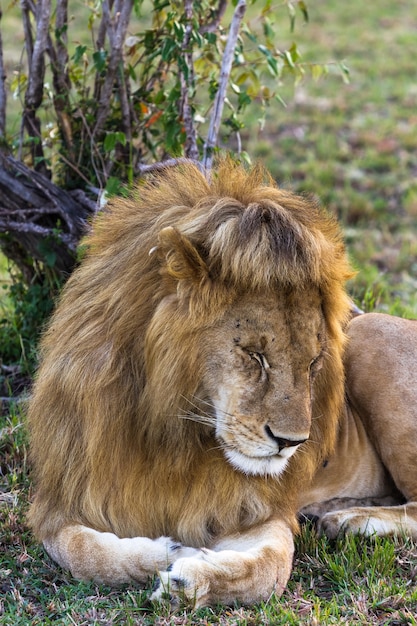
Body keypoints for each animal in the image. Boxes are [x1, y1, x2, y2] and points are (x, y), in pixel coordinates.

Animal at [27, 160, 416, 604]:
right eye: (254, 354)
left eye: (313, 362)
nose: (292, 443)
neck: (172, 435)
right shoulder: (63, 499)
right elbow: (83, 553)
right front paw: (169, 552)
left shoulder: (257, 510)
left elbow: (267, 570)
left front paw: (188, 579)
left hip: (371, 328)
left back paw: (351, 520)